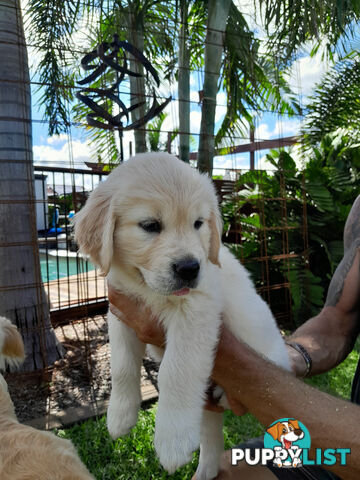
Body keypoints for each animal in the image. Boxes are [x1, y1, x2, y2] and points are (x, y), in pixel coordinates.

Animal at [74, 152, 292, 478]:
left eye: (198, 223)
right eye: (150, 225)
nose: (190, 269)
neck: (147, 288)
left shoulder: (196, 312)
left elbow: (176, 371)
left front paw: (171, 441)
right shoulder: (121, 312)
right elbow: (122, 365)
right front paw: (120, 415)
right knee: (211, 429)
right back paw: (205, 471)